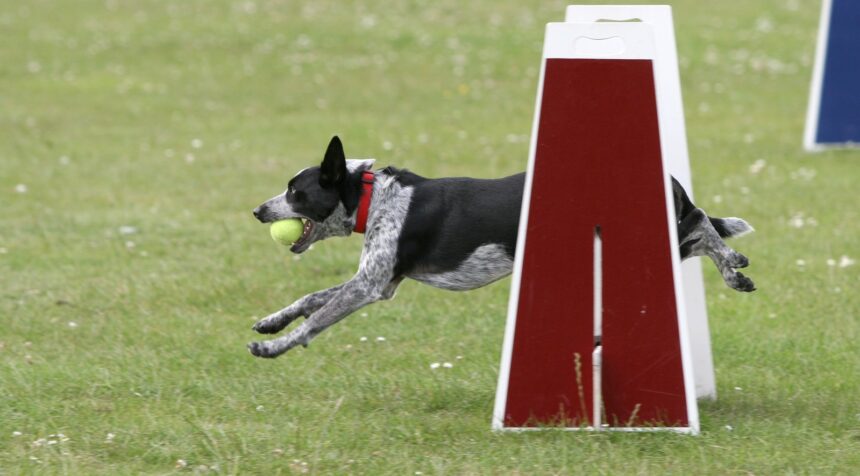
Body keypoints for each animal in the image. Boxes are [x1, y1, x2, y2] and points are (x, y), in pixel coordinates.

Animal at [247, 136, 752, 358]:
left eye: (295, 192)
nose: (257, 210)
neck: (372, 195)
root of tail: (667, 177)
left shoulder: (370, 286)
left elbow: (316, 320)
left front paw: (277, 346)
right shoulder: (380, 281)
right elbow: (310, 299)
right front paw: (272, 322)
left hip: (651, 231)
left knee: (703, 222)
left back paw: (734, 267)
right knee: (700, 231)